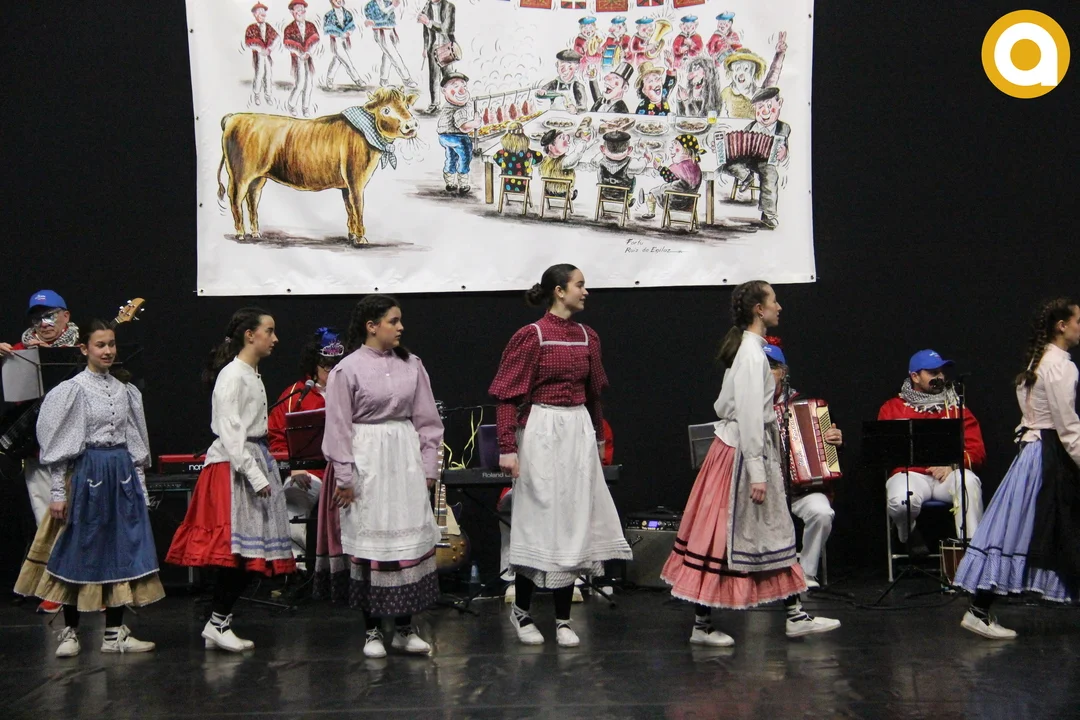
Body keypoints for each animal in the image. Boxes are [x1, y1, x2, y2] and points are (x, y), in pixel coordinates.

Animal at [217, 87, 419, 246]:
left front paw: (352, 236)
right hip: (240, 175)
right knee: (235, 198)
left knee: (252, 200)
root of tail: (234, 117)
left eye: (406, 106)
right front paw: (361, 238)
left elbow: (349, 208)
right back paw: (240, 234)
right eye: (386, 110)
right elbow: (358, 206)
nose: (411, 124)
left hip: (258, 178)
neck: (364, 132)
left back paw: (256, 233)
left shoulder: (346, 185)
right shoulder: (355, 181)